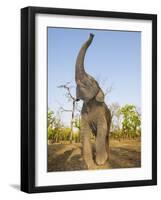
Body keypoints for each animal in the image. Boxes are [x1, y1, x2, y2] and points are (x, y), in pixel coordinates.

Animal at [75, 33, 110, 169]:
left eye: (91, 81)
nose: (92, 34)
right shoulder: (83, 113)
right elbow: (84, 131)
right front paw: (89, 165)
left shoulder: (101, 112)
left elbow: (102, 128)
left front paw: (100, 162)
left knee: (106, 134)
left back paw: (108, 156)